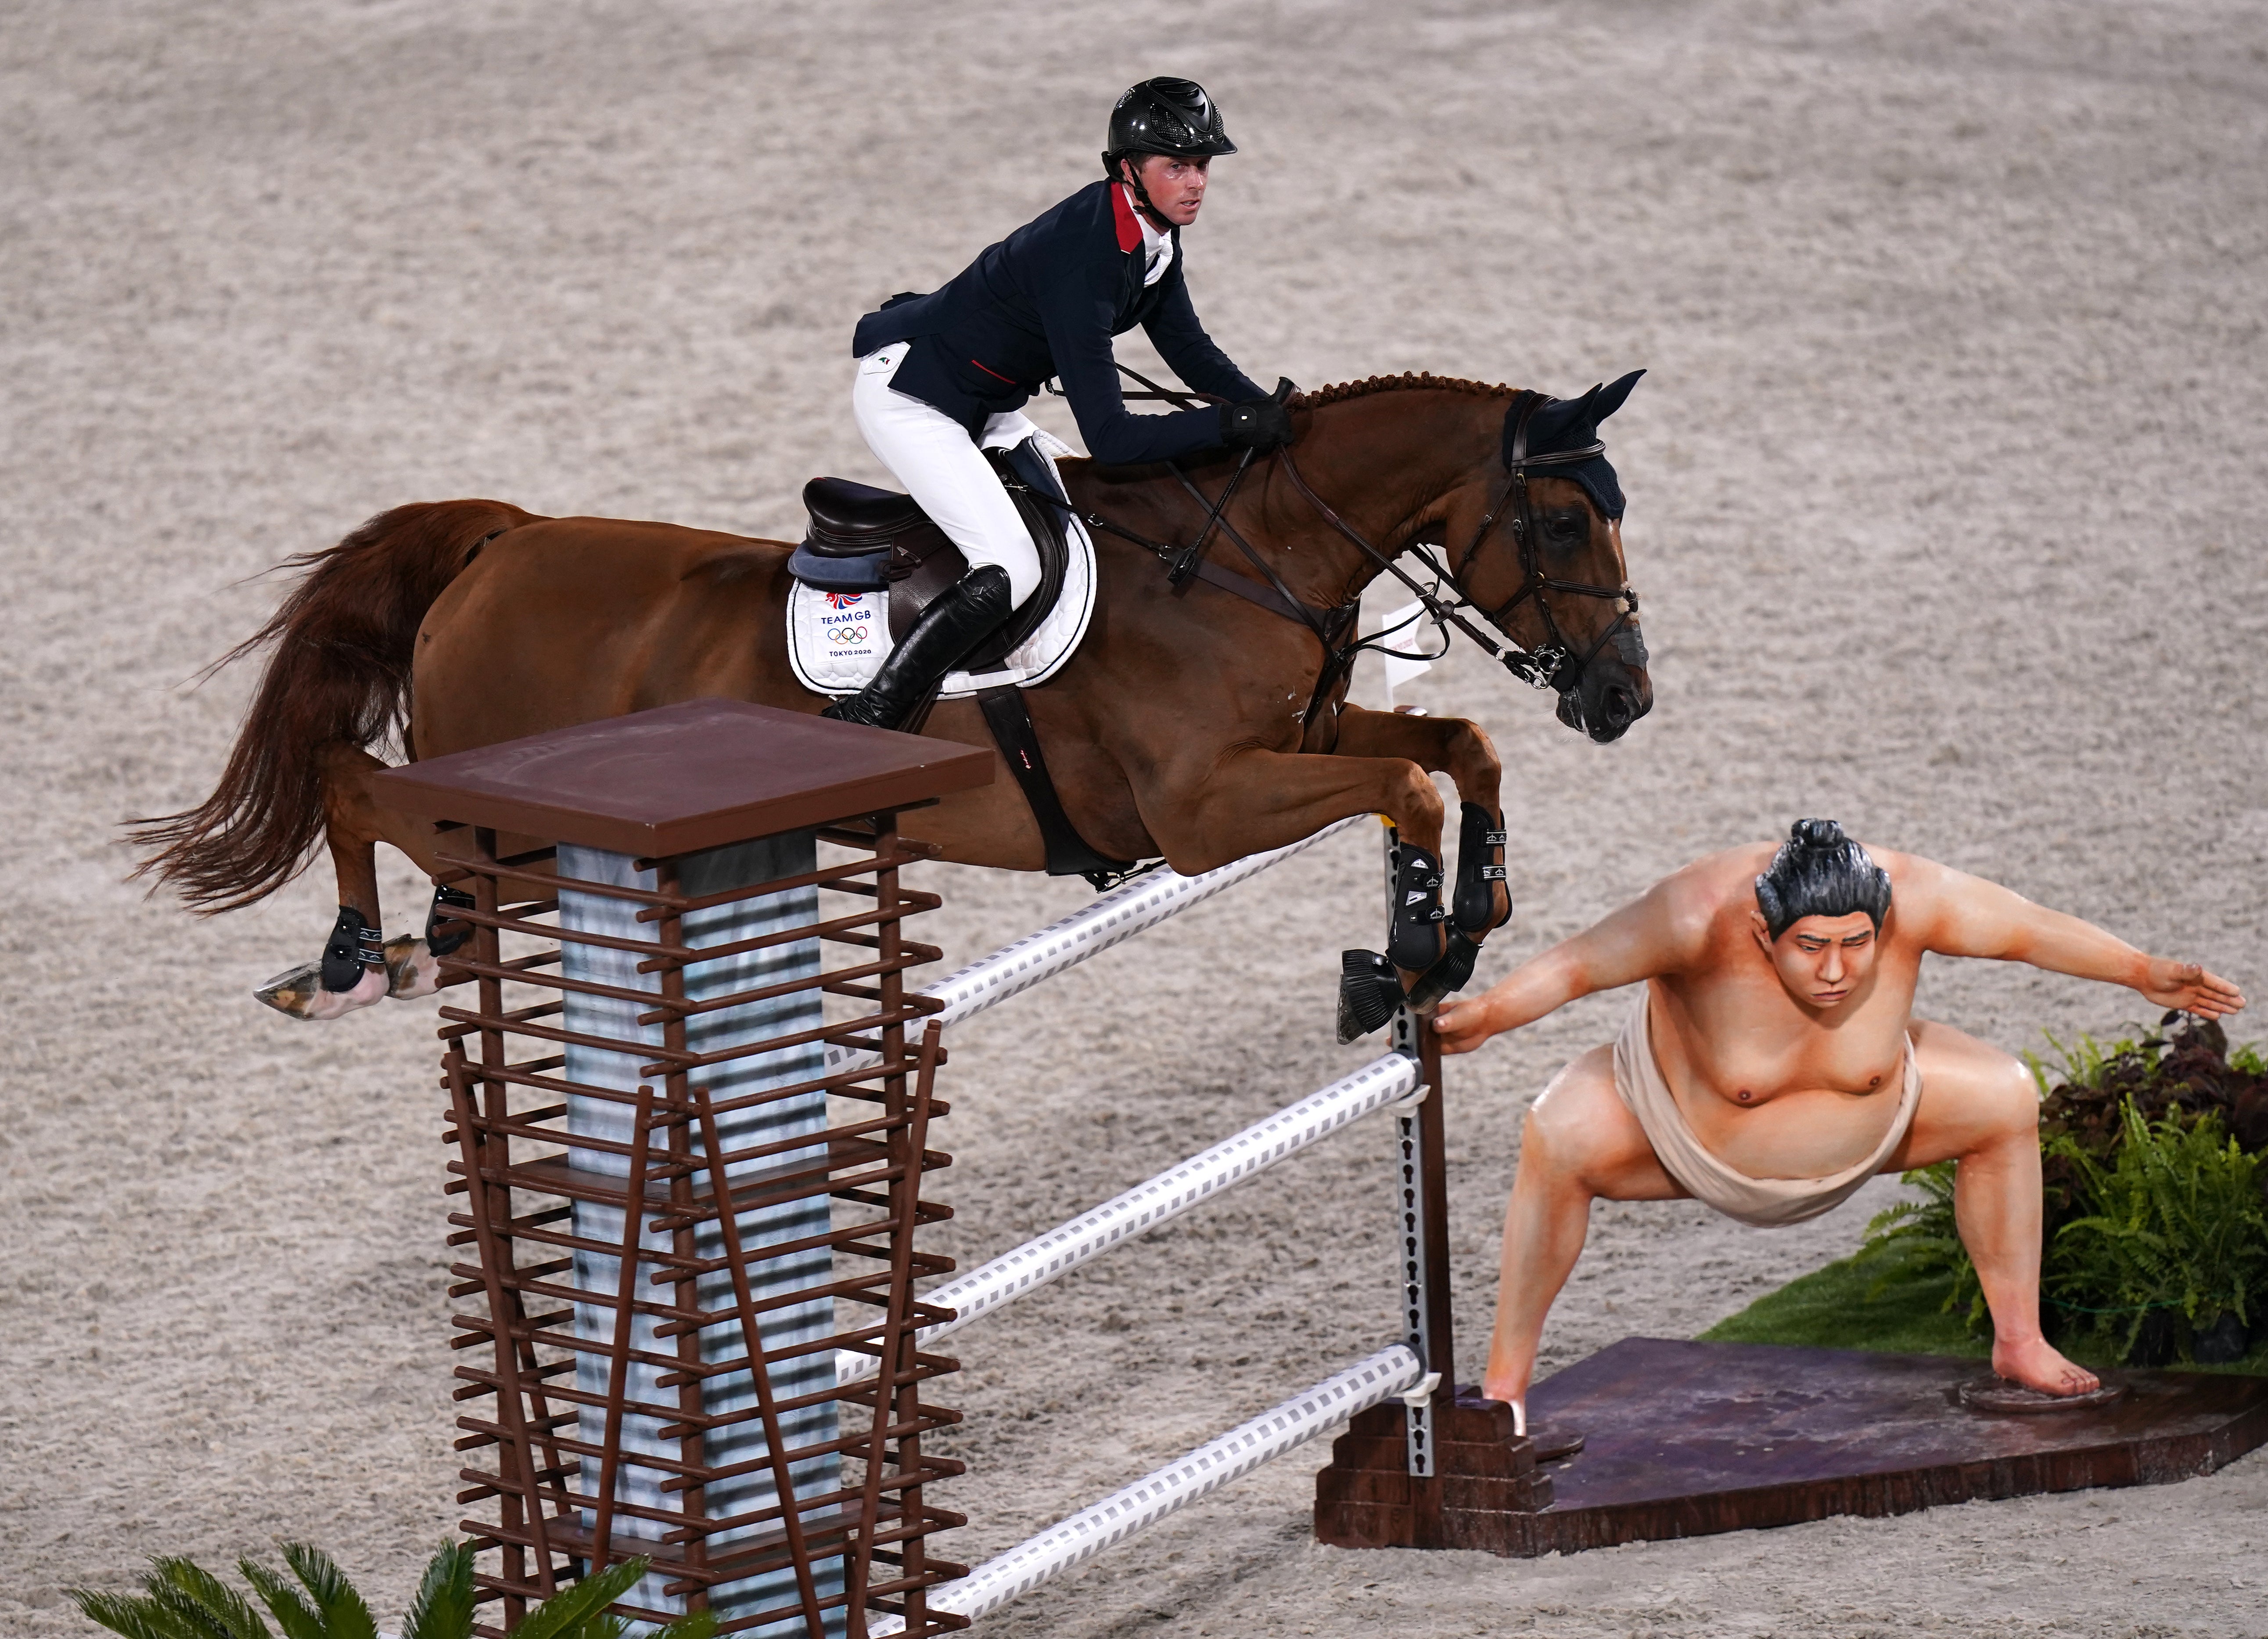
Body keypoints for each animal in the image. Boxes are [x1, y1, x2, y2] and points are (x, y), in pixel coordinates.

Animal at [133, 375, 1651, 1021]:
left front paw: (1468, 911)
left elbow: (1456, 746)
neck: (1240, 555)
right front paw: (1407, 948)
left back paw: (405, 946)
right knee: (354, 788)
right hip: (497, 813)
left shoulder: (1303, 737)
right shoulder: (1205, 810)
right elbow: (1404, 782)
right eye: (1559, 520)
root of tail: (500, 544)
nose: (1626, 694)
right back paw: (348, 960)